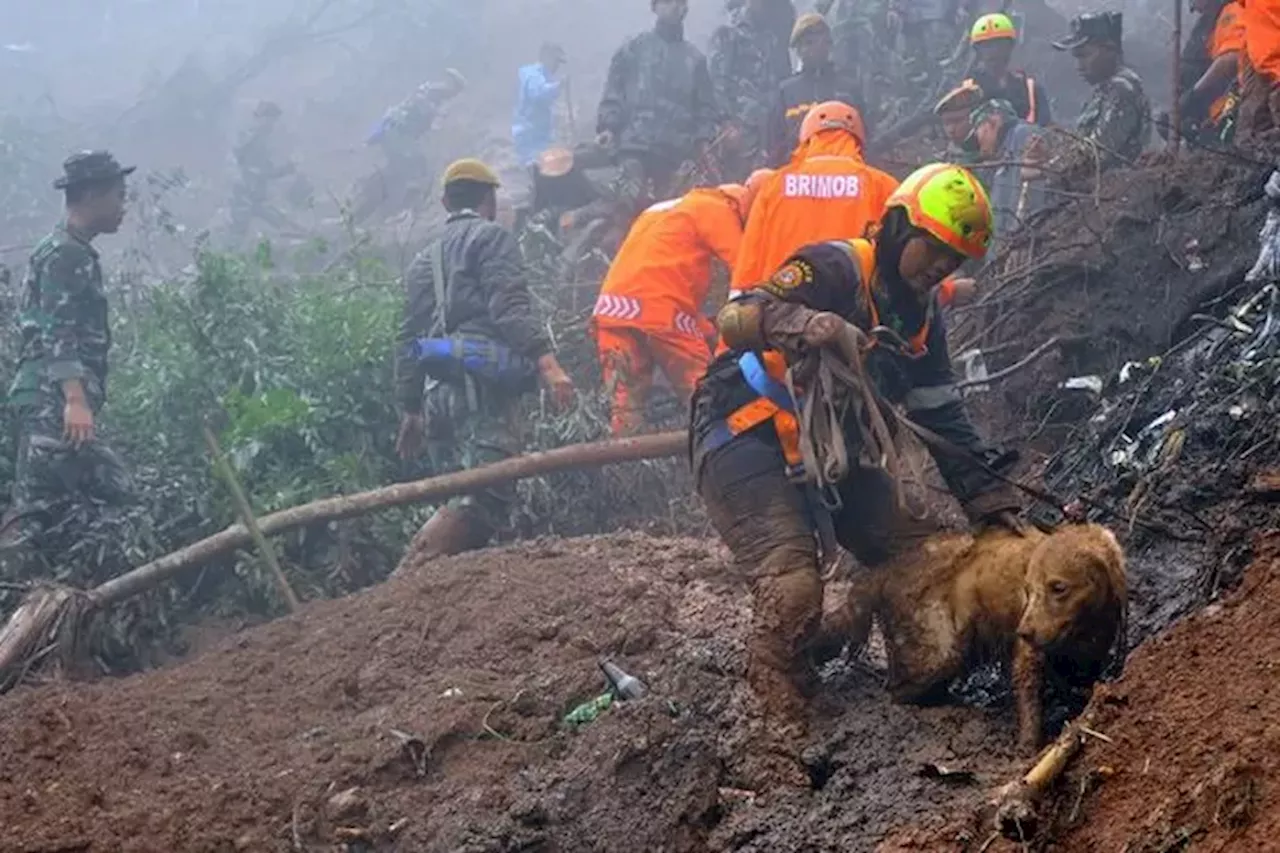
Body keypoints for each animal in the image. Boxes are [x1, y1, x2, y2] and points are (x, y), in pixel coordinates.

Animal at [824, 522, 1126, 747]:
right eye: (1028, 589)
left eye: (1058, 587)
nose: (1023, 631)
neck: (1086, 625)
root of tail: (883, 571)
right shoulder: (1028, 656)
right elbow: (1030, 698)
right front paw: (1029, 747)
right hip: (939, 652)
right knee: (897, 691)